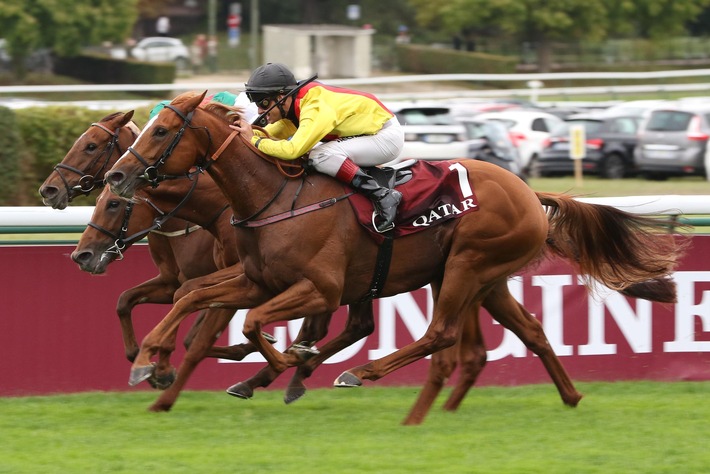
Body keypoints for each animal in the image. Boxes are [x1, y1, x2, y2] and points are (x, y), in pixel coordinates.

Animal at [104, 92, 684, 422]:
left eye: (161, 131)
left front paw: (283, 361)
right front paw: (149, 359)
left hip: (467, 265)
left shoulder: (319, 288)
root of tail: (528, 192)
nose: (118, 173)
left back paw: (361, 374)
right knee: (530, 331)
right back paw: (569, 397)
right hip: (485, 277)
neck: (273, 196)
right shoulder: (258, 279)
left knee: (441, 335)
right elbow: (193, 295)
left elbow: (251, 324)